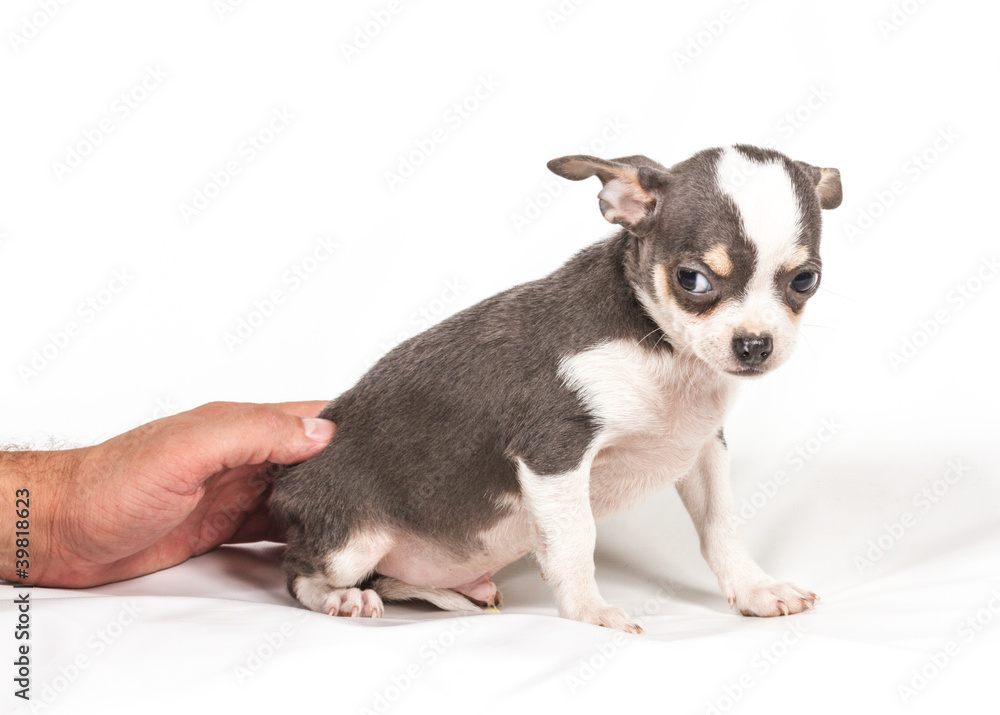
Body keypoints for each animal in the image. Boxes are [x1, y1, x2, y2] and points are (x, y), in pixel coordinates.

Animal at [270, 144, 840, 632]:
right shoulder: (554, 453)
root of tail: (284, 488)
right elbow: (575, 541)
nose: (755, 344)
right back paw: (345, 598)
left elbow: (720, 525)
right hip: (349, 541)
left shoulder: (703, 448)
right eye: (692, 279)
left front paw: (755, 589)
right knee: (299, 575)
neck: (665, 354)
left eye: (805, 281)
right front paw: (589, 612)